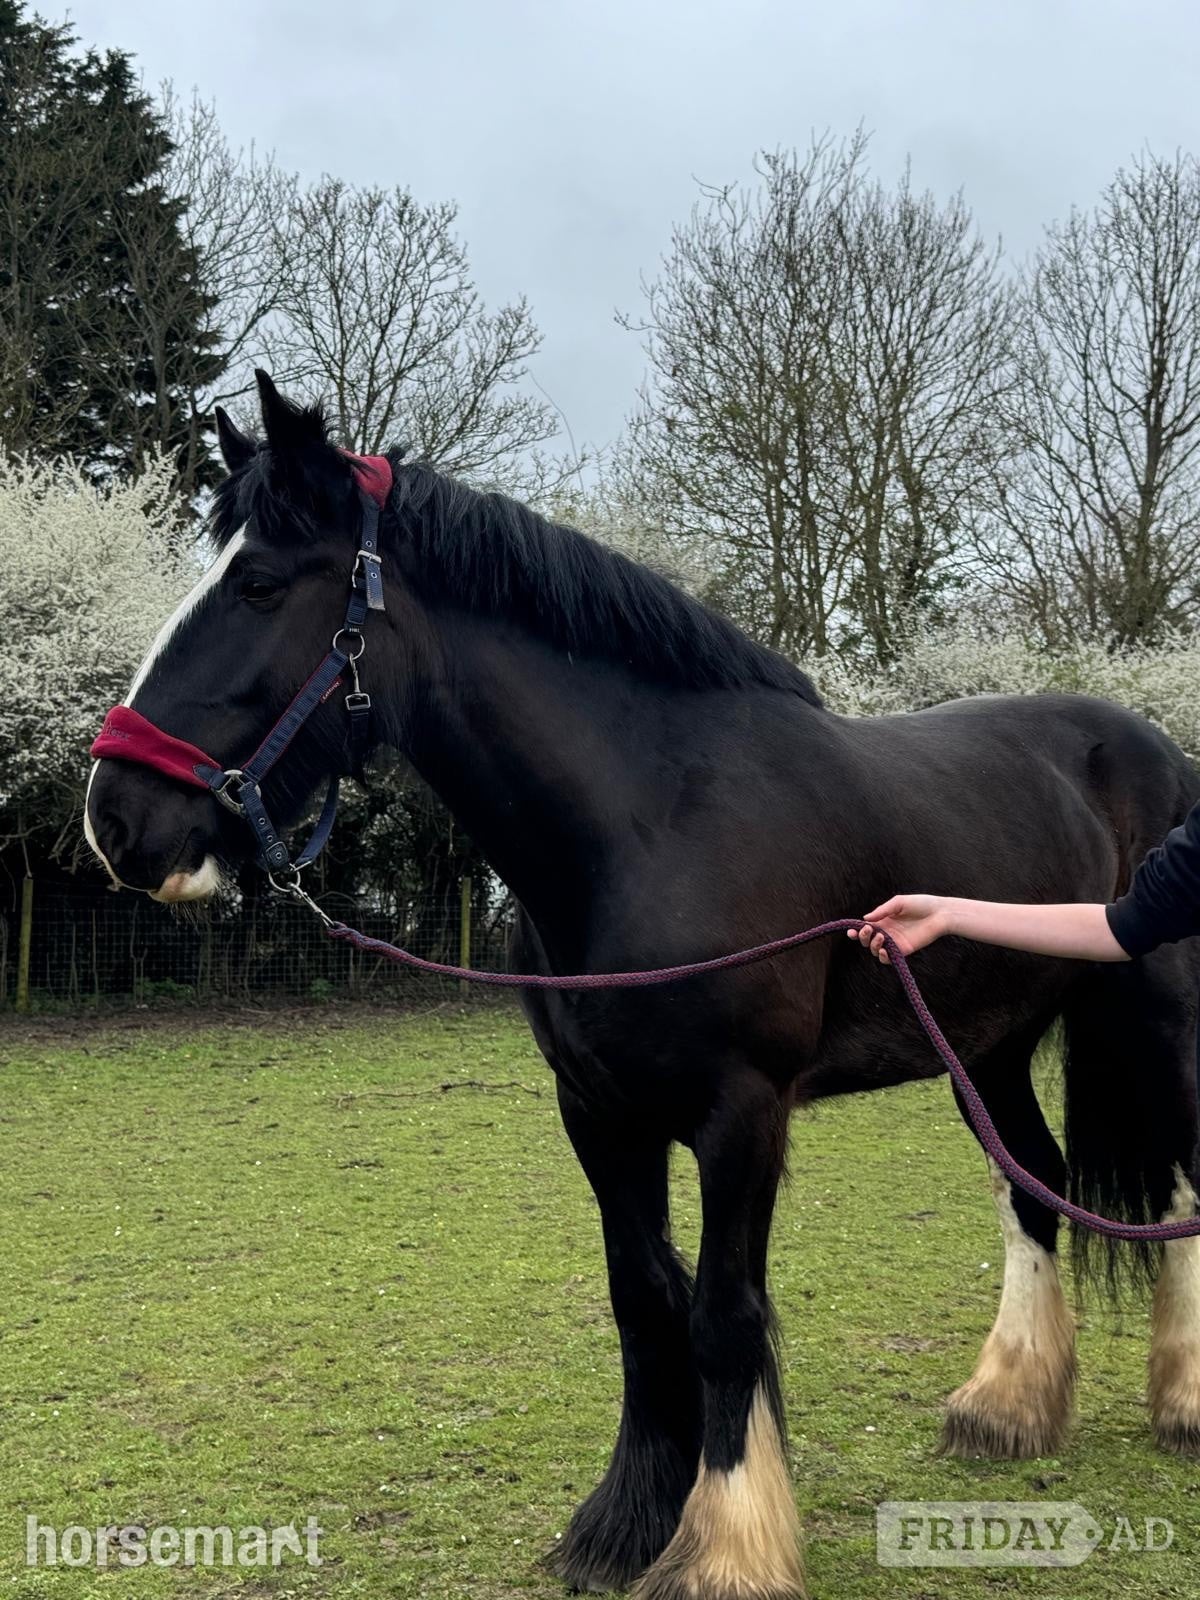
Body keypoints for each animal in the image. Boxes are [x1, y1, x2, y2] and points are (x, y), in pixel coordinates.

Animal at [85, 371, 1200, 1600]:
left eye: (260, 583)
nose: (116, 820)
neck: (651, 822)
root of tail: (1147, 743)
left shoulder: (740, 1115)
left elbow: (722, 1315)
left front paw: (727, 1546)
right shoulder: (600, 1112)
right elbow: (641, 1302)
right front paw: (624, 1523)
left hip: (1156, 1020)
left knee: (1179, 1185)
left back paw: (1183, 1402)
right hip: (986, 1044)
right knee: (1032, 1185)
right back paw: (1006, 1404)